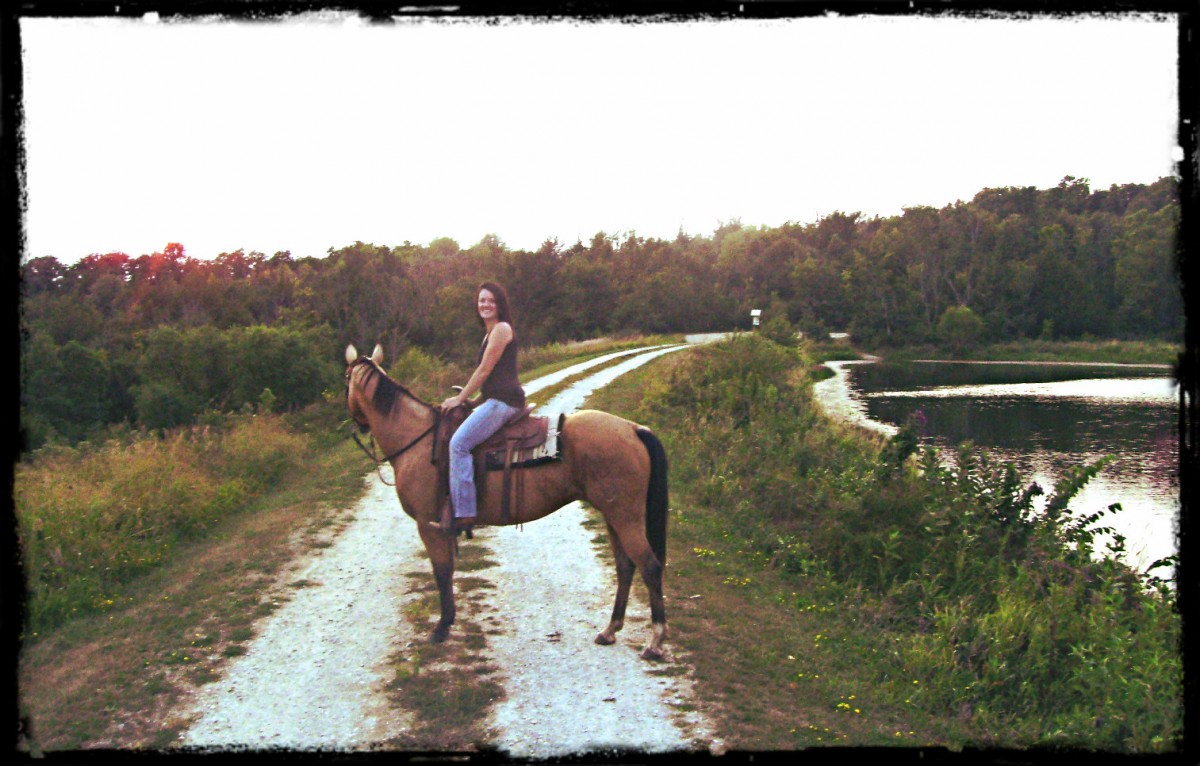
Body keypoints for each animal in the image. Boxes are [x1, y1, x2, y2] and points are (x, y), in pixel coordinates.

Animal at [343, 345, 672, 662]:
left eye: (346, 380)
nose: (358, 425)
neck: (420, 442)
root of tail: (633, 428)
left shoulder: (429, 526)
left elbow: (441, 572)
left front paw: (441, 628)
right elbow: (447, 571)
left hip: (625, 515)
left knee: (649, 566)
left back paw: (655, 642)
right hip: (613, 514)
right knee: (625, 566)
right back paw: (610, 630)